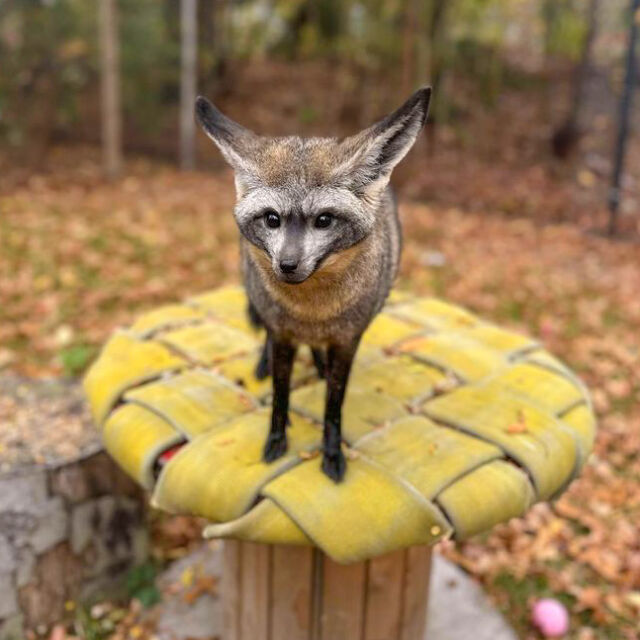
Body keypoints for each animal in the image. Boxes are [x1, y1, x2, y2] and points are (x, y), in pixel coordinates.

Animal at [196, 87, 430, 482]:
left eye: (323, 220)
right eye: (272, 219)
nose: (287, 266)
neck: (312, 312)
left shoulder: (347, 341)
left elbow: (333, 406)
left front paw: (331, 452)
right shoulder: (282, 334)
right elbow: (280, 395)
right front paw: (276, 440)